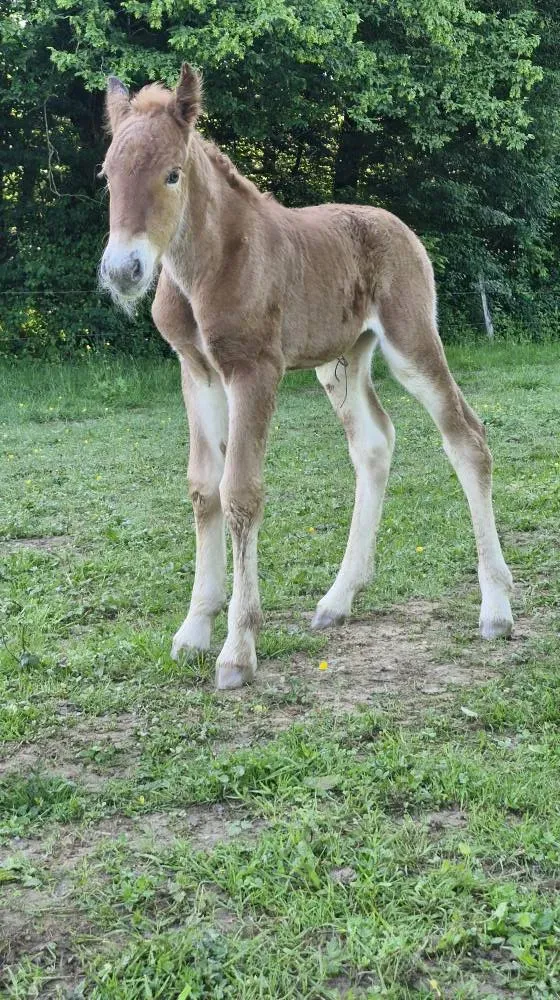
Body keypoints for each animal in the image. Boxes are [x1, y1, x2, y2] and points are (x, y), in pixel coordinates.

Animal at [99, 64, 513, 689]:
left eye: (172, 174)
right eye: (106, 177)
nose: (124, 270)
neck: (209, 267)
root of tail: (401, 228)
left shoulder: (254, 369)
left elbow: (241, 491)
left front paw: (237, 650)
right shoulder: (196, 371)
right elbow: (203, 487)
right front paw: (194, 630)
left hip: (411, 342)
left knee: (466, 437)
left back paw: (496, 608)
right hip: (340, 361)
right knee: (374, 443)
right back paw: (338, 600)